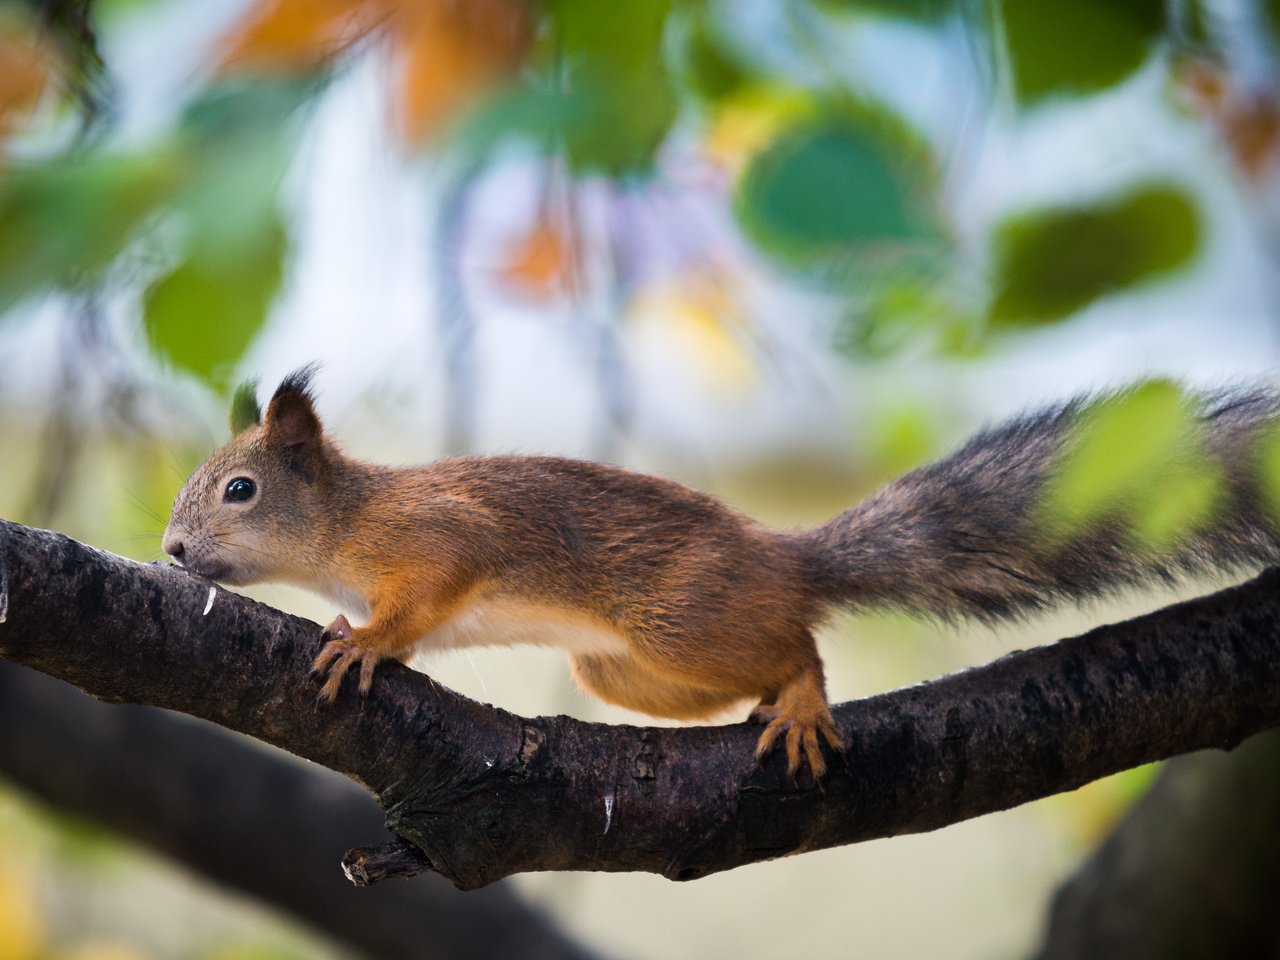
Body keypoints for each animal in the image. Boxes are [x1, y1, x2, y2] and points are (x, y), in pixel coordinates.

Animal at [162, 368, 1280, 783]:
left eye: (239, 491)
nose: (169, 553)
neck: (348, 521)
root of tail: (783, 556)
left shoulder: (438, 540)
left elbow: (417, 604)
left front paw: (361, 646)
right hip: (625, 670)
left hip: (680, 619)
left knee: (798, 642)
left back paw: (801, 699)